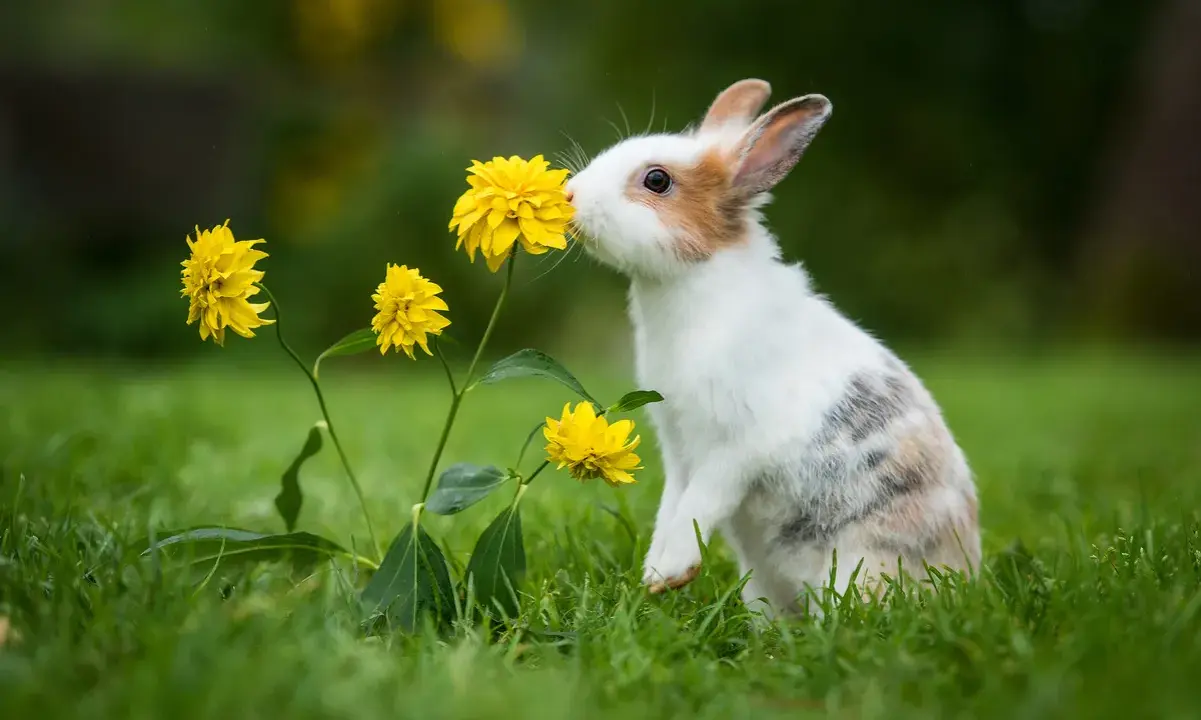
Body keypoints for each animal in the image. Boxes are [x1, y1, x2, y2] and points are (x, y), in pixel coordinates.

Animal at [563, 79, 981, 617]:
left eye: (656, 180)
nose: (570, 195)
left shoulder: (735, 447)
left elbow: (700, 503)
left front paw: (667, 572)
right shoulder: (678, 449)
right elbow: (672, 505)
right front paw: (655, 574)